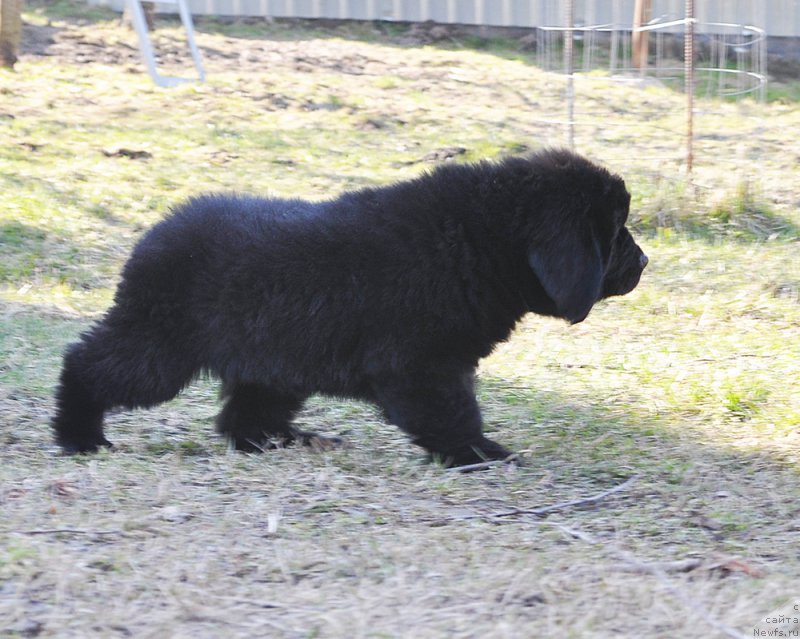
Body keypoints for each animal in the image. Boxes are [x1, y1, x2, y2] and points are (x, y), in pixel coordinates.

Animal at [50, 151, 648, 470]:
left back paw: (295, 441)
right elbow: (454, 415)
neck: (478, 238)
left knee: (244, 419)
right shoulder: (423, 368)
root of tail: (153, 235)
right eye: (614, 232)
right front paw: (481, 454)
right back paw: (79, 436)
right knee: (86, 364)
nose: (644, 261)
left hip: (273, 361)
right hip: (159, 346)